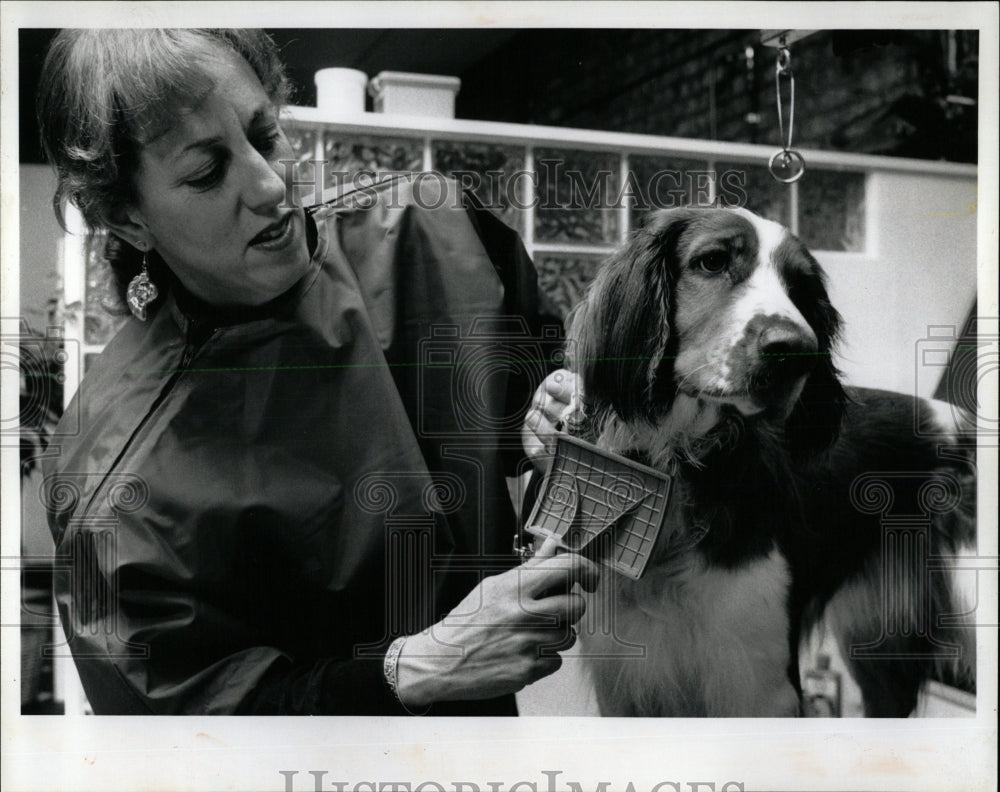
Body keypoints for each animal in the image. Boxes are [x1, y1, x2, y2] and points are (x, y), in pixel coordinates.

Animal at [560, 207, 980, 716]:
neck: (681, 460)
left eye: (801, 286)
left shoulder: (756, 685)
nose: (795, 352)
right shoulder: (625, 686)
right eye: (713, 261)